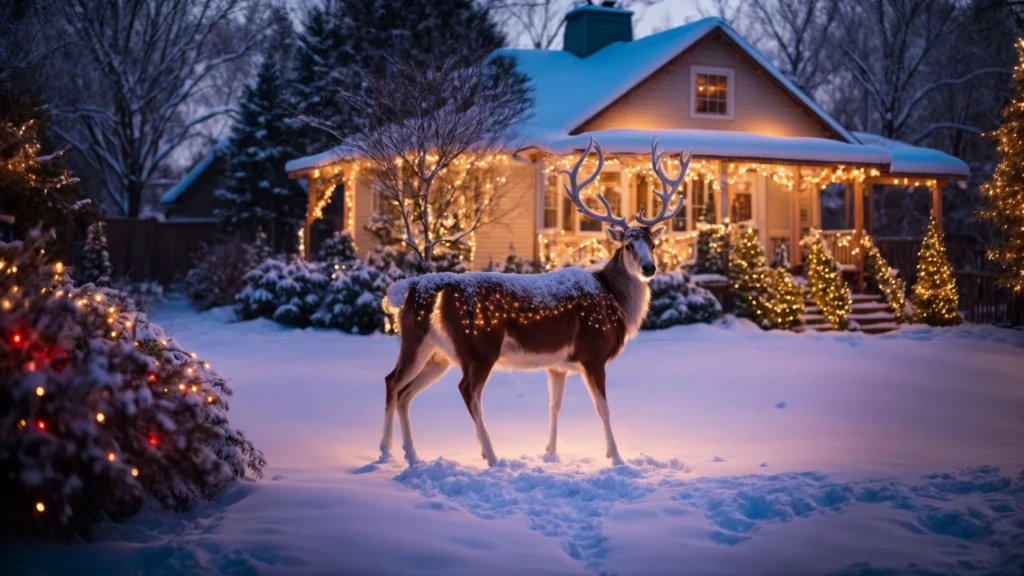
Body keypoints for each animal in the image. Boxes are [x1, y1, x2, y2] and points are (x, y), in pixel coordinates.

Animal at [379, 138, 691, 467]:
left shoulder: (557, 365)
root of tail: (416, 287)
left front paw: (551, 453)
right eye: (629, 245)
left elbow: (554, 406)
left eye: (653, 244)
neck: (614, 300)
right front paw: (616, 457)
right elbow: (603, 408)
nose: (649, 268)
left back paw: (401, 453)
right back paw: (490, 456)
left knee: (396, 385)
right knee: (465, 392)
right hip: (478, 346)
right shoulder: (592, 354)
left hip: (426, 346)